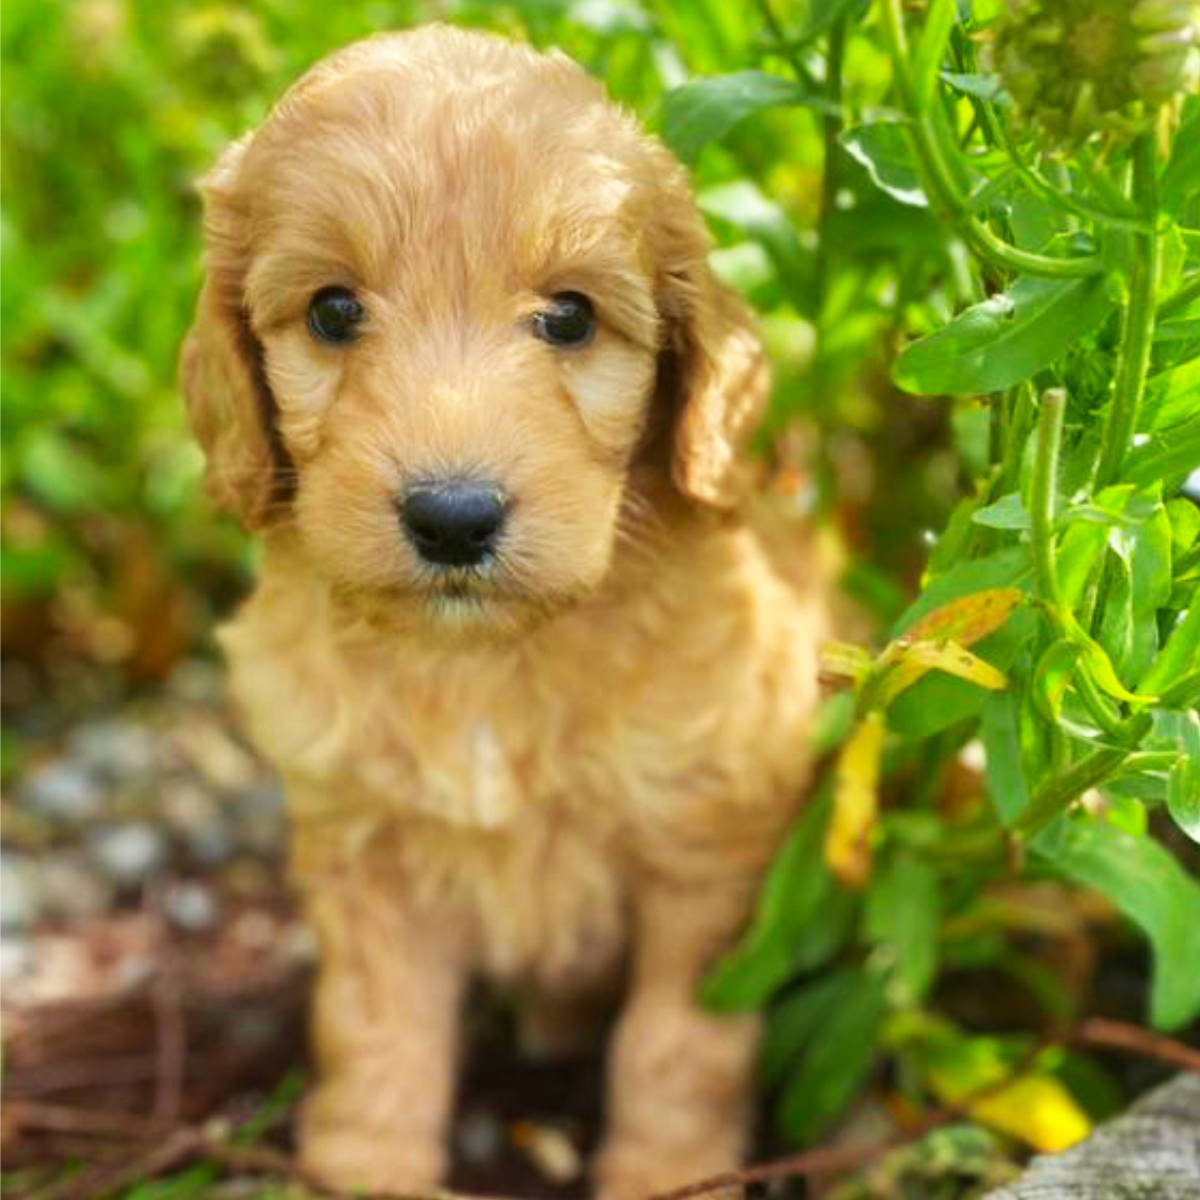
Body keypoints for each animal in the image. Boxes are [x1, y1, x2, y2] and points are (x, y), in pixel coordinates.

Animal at [182, 23, 830, 1195]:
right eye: (333, 311)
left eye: (568, 317)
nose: (452, 517)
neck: (484, 662)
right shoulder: (366, 852)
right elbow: (375, 1030)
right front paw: (366, 1170)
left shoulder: (706, 849)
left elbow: (677, 1045)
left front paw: (664, 1173)